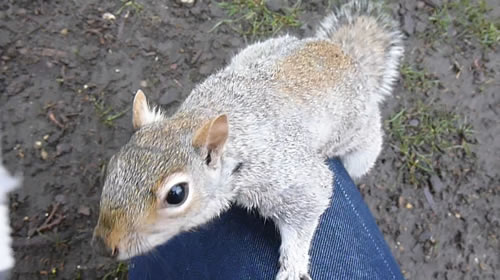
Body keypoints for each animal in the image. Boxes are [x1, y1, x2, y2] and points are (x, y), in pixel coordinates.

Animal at [92, 1, 404, 278]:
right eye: (113, 166)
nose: (106, 246)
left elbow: (309, 207)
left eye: (177, 194)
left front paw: (293, 268)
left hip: (362, 143)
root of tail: (343, 53)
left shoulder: (289, 174)